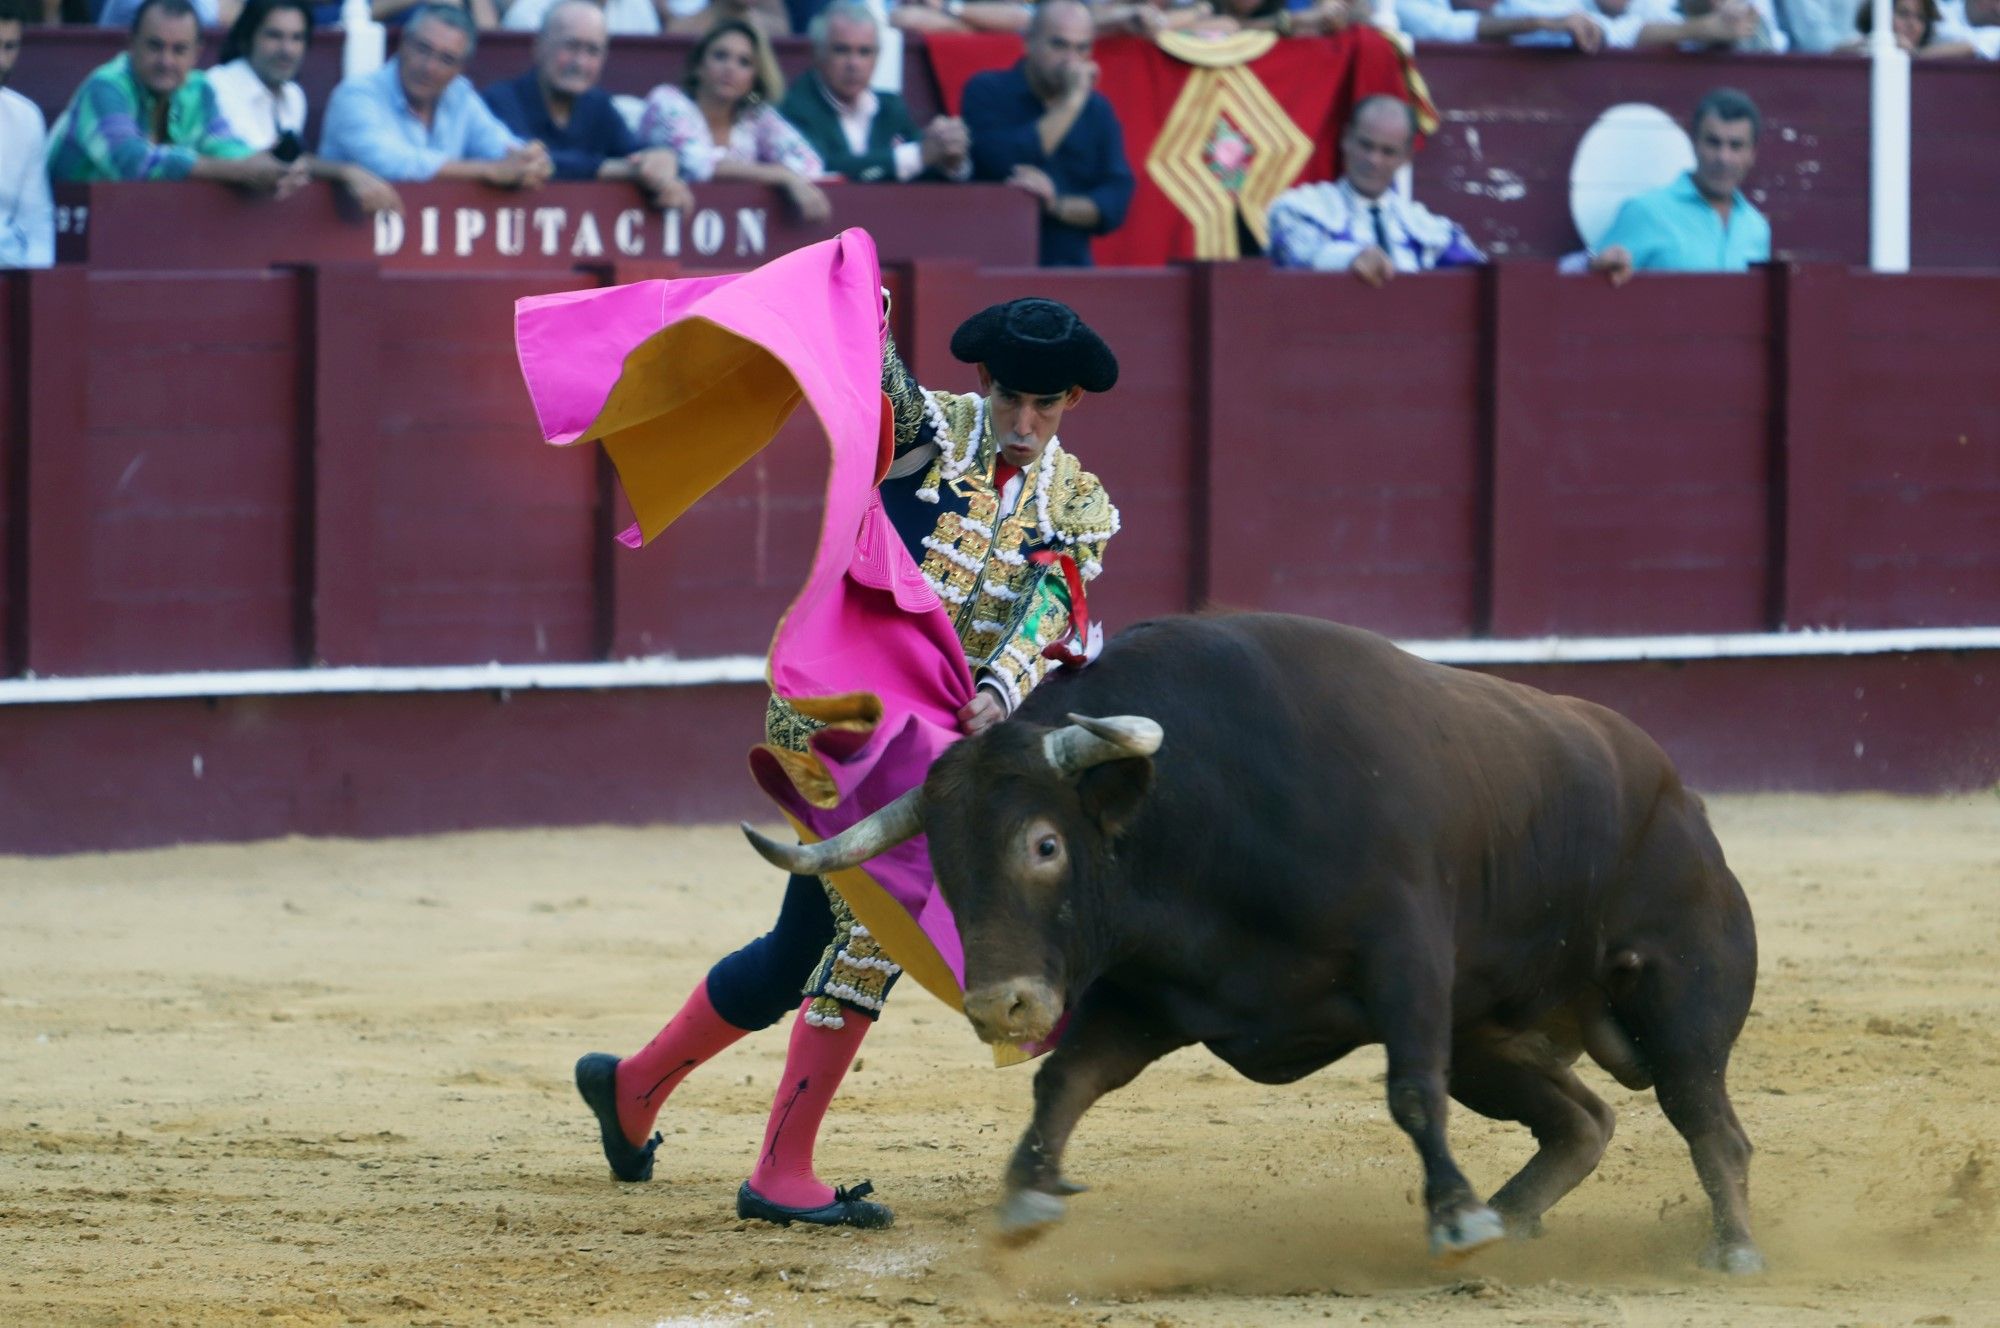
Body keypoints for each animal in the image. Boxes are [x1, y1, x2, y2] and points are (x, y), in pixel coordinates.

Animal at [752, 616, 1768, 1272]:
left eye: (1045, 845)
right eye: (945, 866)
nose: (1002, 1005)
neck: (1206, 812)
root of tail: (1676, 791)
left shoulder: (1410, 964)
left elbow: (1409, 1090)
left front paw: (1452, 1220)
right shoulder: (1158, 995)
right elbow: (1066, 1080)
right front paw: (1027, 1196)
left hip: (1677, 990)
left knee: (1707, 1119)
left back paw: (1731, 1250)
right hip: (1494, 1038)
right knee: (1581, 1120)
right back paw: (1513, 1218)